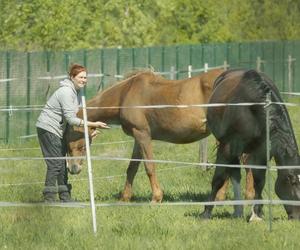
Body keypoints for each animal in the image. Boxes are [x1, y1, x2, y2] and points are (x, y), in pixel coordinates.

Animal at [65, 69, 225, 202]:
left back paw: (219, 198)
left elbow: (149, 166)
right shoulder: (138, 138)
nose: (73, 169)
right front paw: (125, 198)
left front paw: (156, 198)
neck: (125, 94)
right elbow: (132, 168)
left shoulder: (143, 135)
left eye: (74, 142)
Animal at [200, 68, 300, 219]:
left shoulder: (261, 152)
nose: (297, 216)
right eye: (291, 182)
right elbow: (218, 178)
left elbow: (259, 181)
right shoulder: (226, 147)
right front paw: (206, 212)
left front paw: (256, 214)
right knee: (233, 174)